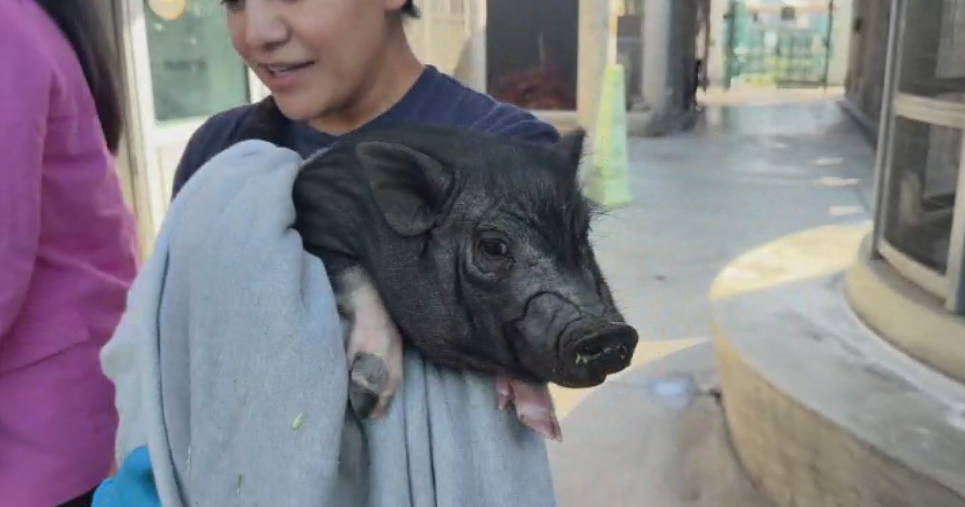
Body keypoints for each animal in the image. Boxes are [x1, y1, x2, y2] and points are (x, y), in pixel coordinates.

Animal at [290, 124, 638, 440]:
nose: (608, 331)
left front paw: (544, 424)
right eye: (494, 247)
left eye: (584, 231)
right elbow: (357, 279)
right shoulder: (314, 220)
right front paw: (368, 404)